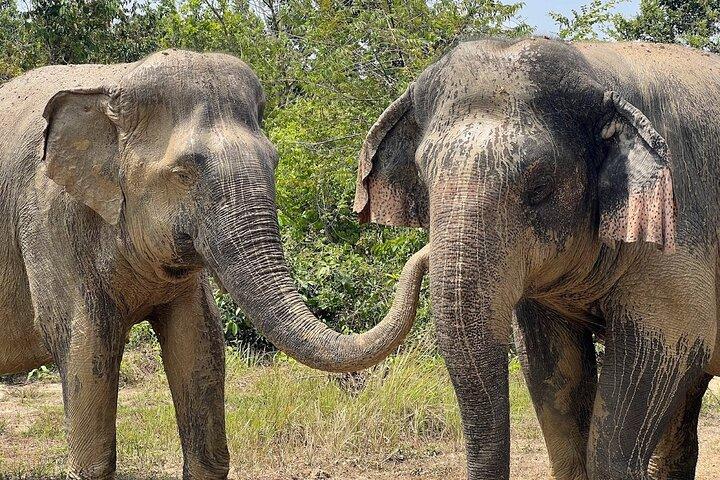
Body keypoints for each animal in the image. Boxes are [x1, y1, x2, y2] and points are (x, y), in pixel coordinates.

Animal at [0, 49, 429, 479]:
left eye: (274, 161)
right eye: (183, 174)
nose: (425, 251)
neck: (114, 82)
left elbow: (200, 341)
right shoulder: (49, 224)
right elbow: (85, 345)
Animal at [354, 37, 720, 480]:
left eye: (541, 185)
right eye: (423, 179)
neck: (598, 70)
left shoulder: (679, 234)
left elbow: (653, 361)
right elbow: (553, 379)